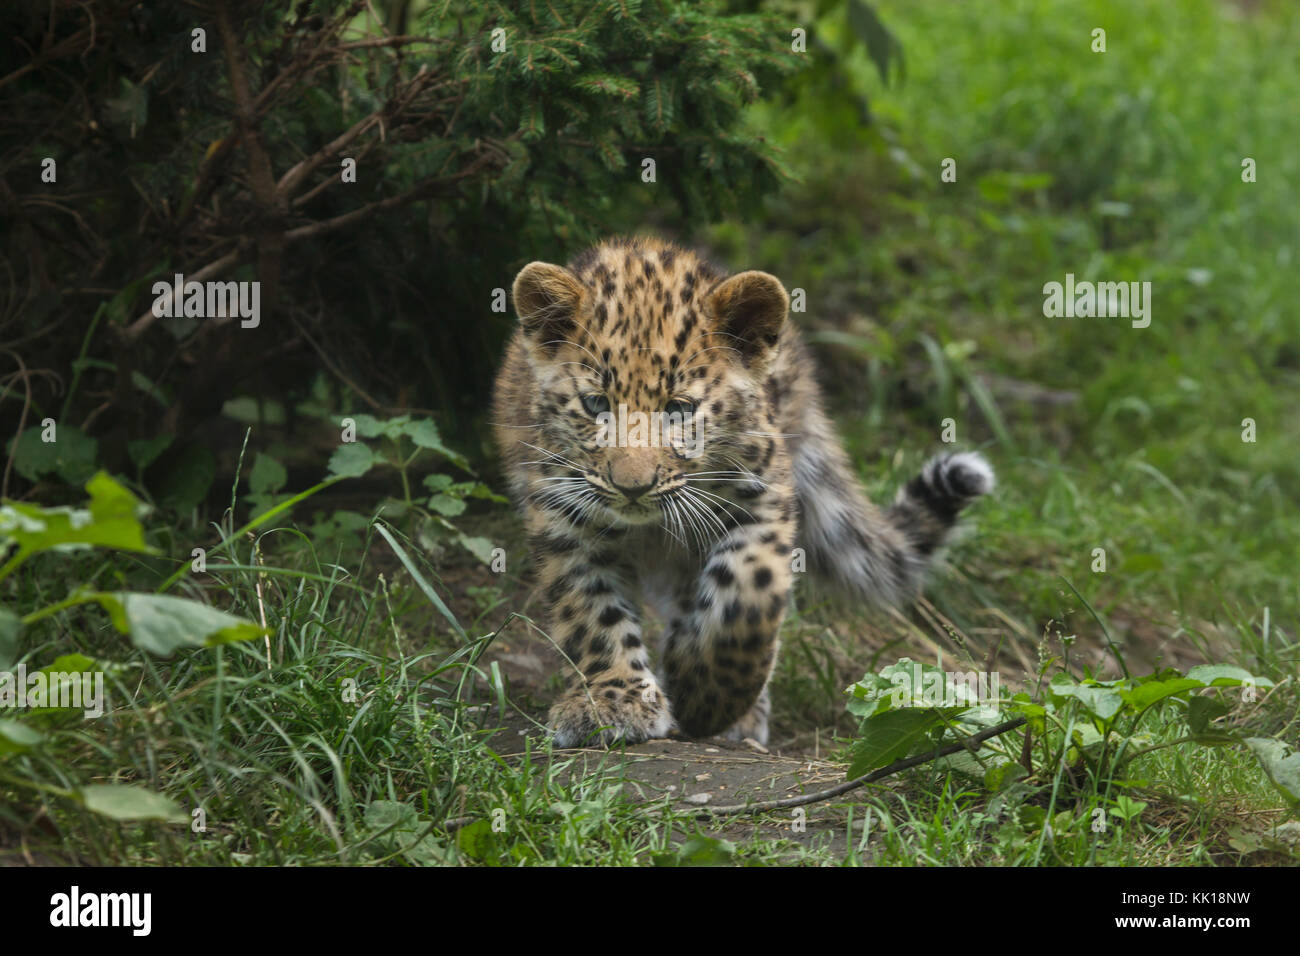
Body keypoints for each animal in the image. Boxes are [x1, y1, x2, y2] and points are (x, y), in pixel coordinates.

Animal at [491, 235, 994, 748]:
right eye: (596, 404)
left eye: (679, 409)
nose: (633, 487)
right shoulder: (565, 516)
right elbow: (590, 613)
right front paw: (613, 703)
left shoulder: (763, 500)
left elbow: (749, 594)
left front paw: (706, 697)